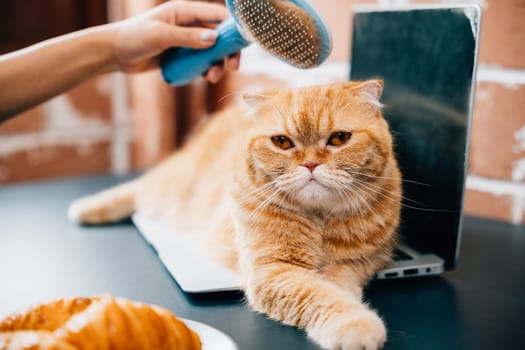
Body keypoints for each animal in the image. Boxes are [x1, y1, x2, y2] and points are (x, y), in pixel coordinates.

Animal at [67, 80, 400, 350]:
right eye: (282, 142)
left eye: (339, 138)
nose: (310, 165)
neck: (319, 219)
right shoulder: (274, 270)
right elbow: (320, 295)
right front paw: (355, 323)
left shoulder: (357, 263)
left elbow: (335, 287)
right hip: (170, 190)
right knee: (139, 188)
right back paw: (86, 208)